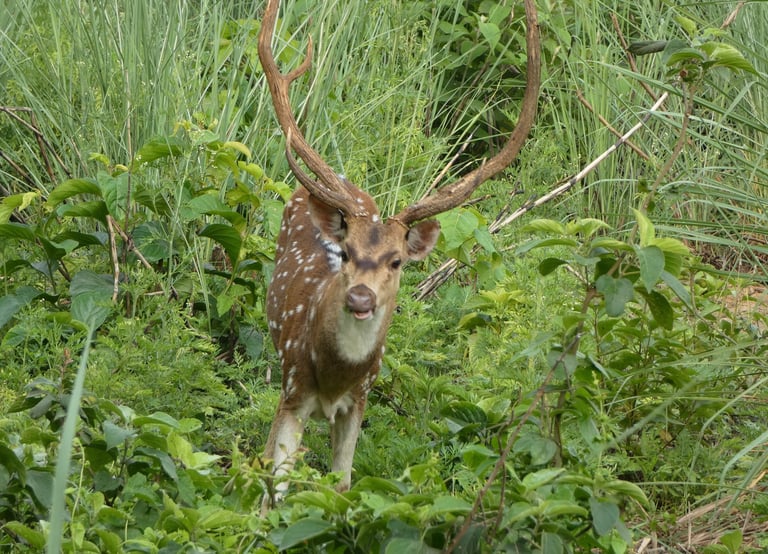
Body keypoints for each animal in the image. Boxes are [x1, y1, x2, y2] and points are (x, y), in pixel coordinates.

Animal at [257, 0, 541, 508]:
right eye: (345, 252)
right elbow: (278, 487)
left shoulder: (361, 399)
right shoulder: (292, 386)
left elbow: (343, 484)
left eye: (396, 261)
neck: (335, 376)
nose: (361, 298)